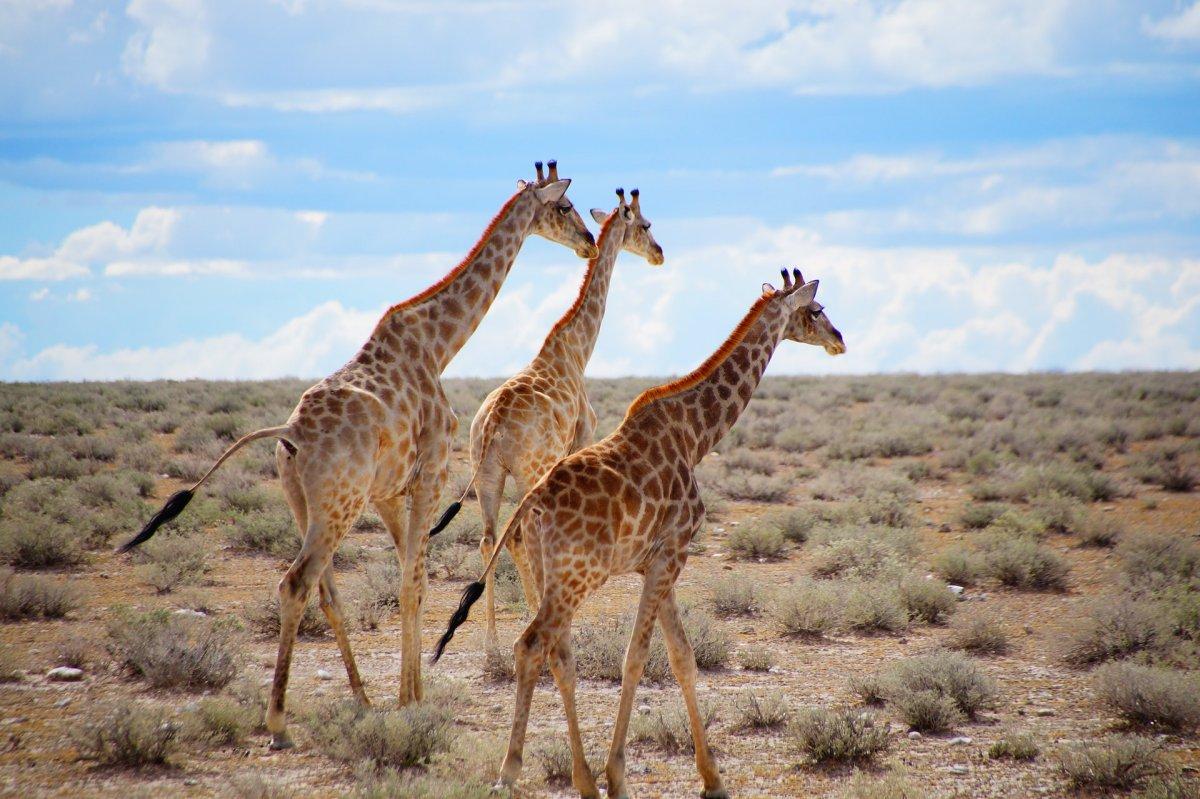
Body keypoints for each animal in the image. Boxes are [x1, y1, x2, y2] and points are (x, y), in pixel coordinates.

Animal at [117, 160, 595, 748]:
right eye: (565, 206)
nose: (588, 242)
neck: (439, 347)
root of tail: (289, 435)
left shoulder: (388, 492)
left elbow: (410, 575)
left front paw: (407, 691)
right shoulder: (431, 473)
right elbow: (414, 580)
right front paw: (414, 696)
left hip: (305, 504)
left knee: (324, 591)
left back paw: (361, 698)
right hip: (337, 506)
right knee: (295, 582)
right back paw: (278, 722)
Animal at [424, 183, 662, 643]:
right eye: (645, 225)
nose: (660, 253)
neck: (577, 348)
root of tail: (492, 425)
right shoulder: (581, 440)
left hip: (487, 474)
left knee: (489, 538)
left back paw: (492, 643)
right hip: (528, 469)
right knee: (520, 533)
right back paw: (533, 616)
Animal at [432, 267, 844, 796]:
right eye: (815, 310)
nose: (839, 339)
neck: (695, 437)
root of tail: (532, 505)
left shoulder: (657, 560)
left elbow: (682, 657)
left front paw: (712, 778)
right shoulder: (674, 551)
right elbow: (637, 656)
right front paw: (618, 776)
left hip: (552, 574)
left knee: (558, 652)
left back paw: (578, 778)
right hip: (576, 577)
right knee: (532, 645)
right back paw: (513, 772)